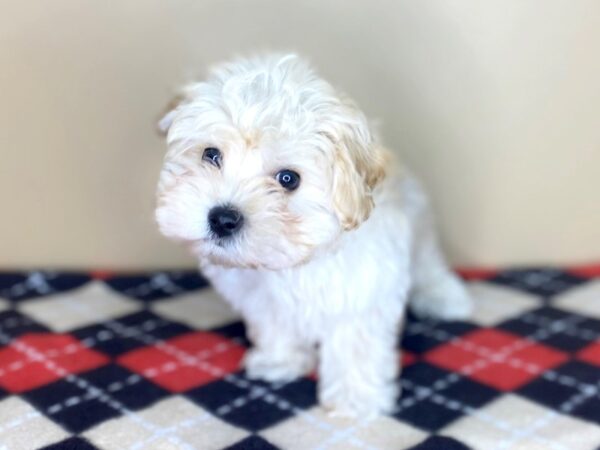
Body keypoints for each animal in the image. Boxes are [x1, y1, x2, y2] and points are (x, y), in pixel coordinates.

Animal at [156, 54, 474, 416]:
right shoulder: (263, 299)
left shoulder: (362, 289)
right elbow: (275, 324)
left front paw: (354, 397)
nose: (222, 219)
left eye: (288, 179)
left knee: (428, 264)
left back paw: (444, 296)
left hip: (419, 226)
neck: (295, 259)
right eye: (211, 155)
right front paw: (281, 361)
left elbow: (355, 341)